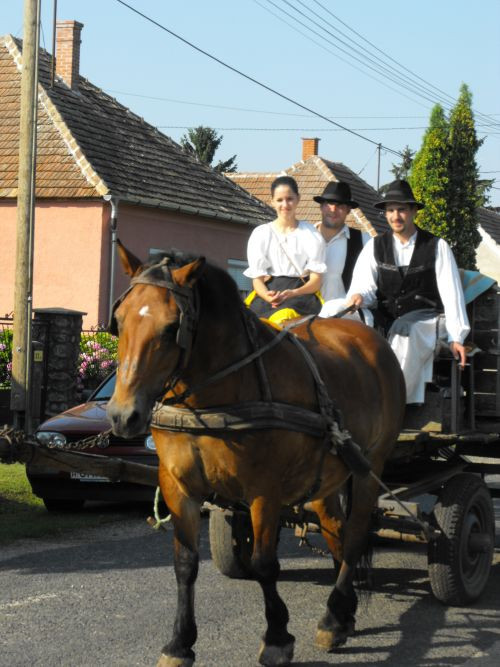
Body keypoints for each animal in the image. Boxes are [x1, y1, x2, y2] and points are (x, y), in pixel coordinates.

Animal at [107, 241, 404, 667]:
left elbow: (265, 564)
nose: (122, 415)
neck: (214, 395)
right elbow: (185, 564)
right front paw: (180, 643)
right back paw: (340, 616)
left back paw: (335, 612)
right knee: (336, 528)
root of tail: (368, 336)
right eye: (119, 321)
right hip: (330, 473)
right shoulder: (178, 486)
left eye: (169, 328)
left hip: (370, 466)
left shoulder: (264, 489)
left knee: (356, 534)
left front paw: (277, 637)